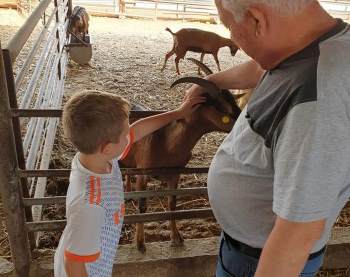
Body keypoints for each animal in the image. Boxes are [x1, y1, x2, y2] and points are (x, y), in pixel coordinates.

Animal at [119, 76, 242, 251]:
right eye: (223, 108)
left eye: (234, 101)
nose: (242, 120)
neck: (167, 143)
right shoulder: (144, 173)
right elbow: (143, 206)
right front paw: (140, 243)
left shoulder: (175, 174)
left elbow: (172, 204)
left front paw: (176, 237)